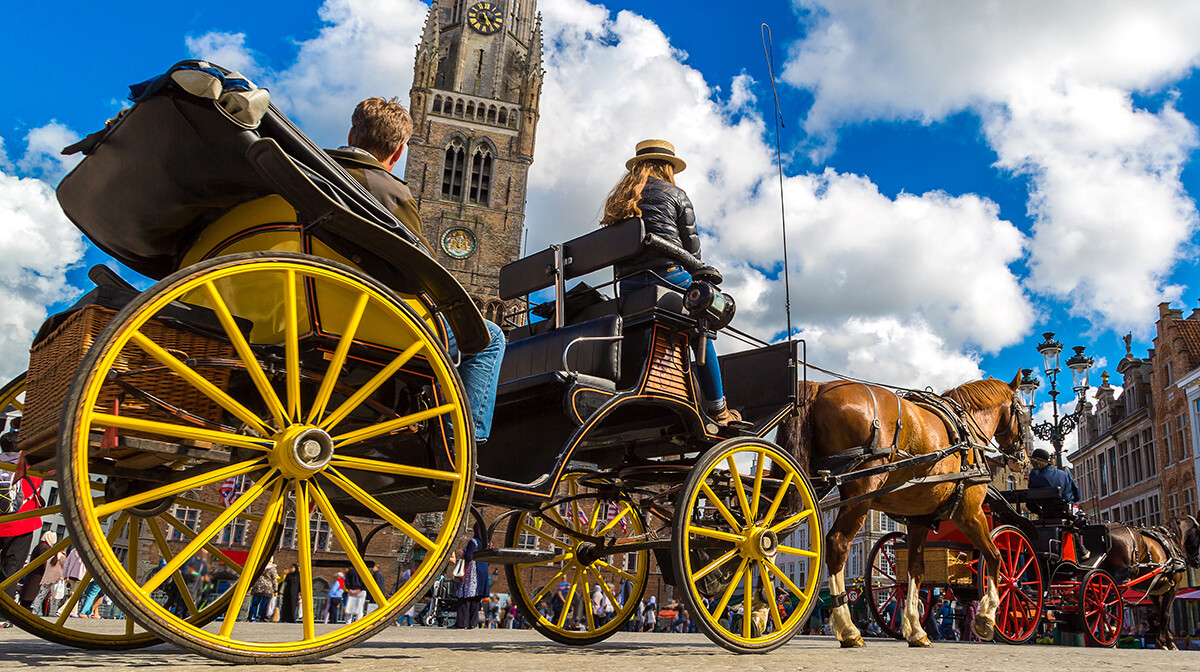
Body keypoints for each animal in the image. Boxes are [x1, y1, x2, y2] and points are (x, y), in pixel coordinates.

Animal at [777, 372, 1032, 648]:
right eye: (1024, 414)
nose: (1023, 461)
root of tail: (819, 387)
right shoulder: (969, 512)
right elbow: (995, 557)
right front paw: (986, 619)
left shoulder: (918, 518)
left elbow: (915, 570)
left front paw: (916, 630)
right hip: (860, 489)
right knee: (837, 543)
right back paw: (848, 630)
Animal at [1099, 513, 1200, 652]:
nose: (1197, 561)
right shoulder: (1173, 588)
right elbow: (1165, 615)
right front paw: (1164, 643)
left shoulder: (1154, 591)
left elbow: (1162, 614)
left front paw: (1167, 643)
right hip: (1122, 578)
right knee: (1108, 600)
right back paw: (1109, 630)